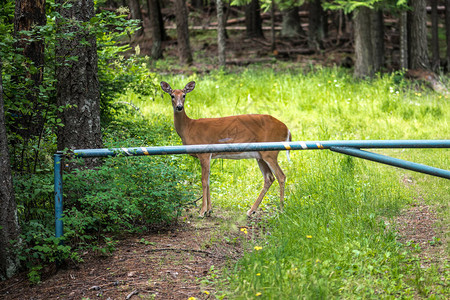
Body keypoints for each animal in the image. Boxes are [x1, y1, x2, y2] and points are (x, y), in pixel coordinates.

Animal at [162, 81, 292, 217]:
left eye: (184, 95)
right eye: (172, 95)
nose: (179, 107)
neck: (188, 128)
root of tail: (287, 129)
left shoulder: (204, 153)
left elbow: (203, 180)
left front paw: (202, 211)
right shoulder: (209, 155)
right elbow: (208, 180)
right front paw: (209, 210)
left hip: (270, 152)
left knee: (281, 176)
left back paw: (281, 209)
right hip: (260, 155)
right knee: (269, 178)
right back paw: (251, 210)